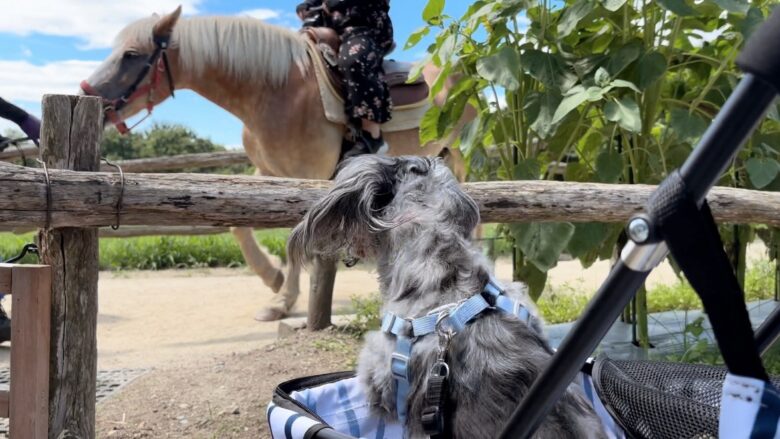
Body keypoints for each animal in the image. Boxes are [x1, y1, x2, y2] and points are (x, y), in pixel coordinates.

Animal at [81, 7, 470, 324]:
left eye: (131, 55)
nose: (88, 93)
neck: (275, 90)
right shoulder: (269, 173)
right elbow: (240, 228)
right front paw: (275, 280)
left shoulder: (309, 175)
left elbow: (297, 237)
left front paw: (282, 300)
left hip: (462, 153)